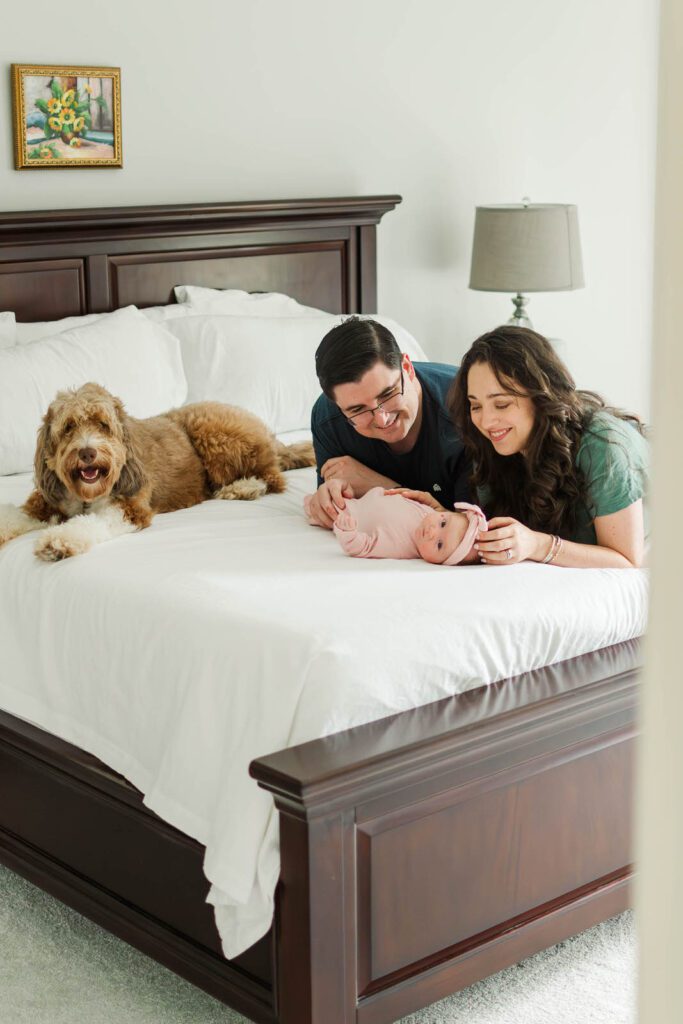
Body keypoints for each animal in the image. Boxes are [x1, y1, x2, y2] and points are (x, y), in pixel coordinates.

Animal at [0, 382, 315, 565]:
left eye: (103, 425)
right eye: (68, 427)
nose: (87, 452)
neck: (86, 495)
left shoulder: (130, 507)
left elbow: (91, 522)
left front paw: (58, 541)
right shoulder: (44, 502)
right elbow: (15, 515)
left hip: (212, 431)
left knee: (273, 476)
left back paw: (243, 488)